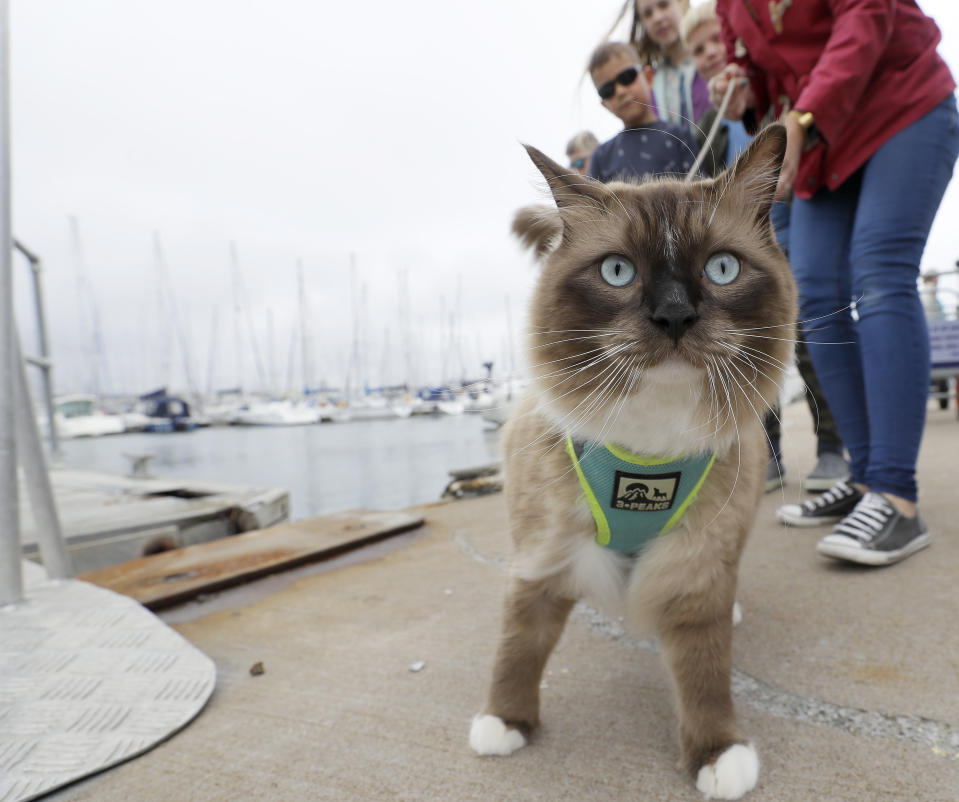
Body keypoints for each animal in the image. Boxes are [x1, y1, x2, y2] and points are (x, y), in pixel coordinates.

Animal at [470, 122, 796, 796]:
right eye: (617, 272)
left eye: (722, 268)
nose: (673, 315)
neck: (647, 454)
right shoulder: (542, 557)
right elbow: (518, 647)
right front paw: (504, 723)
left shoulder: (697, 567)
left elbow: (705, 674)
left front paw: (717, 756)